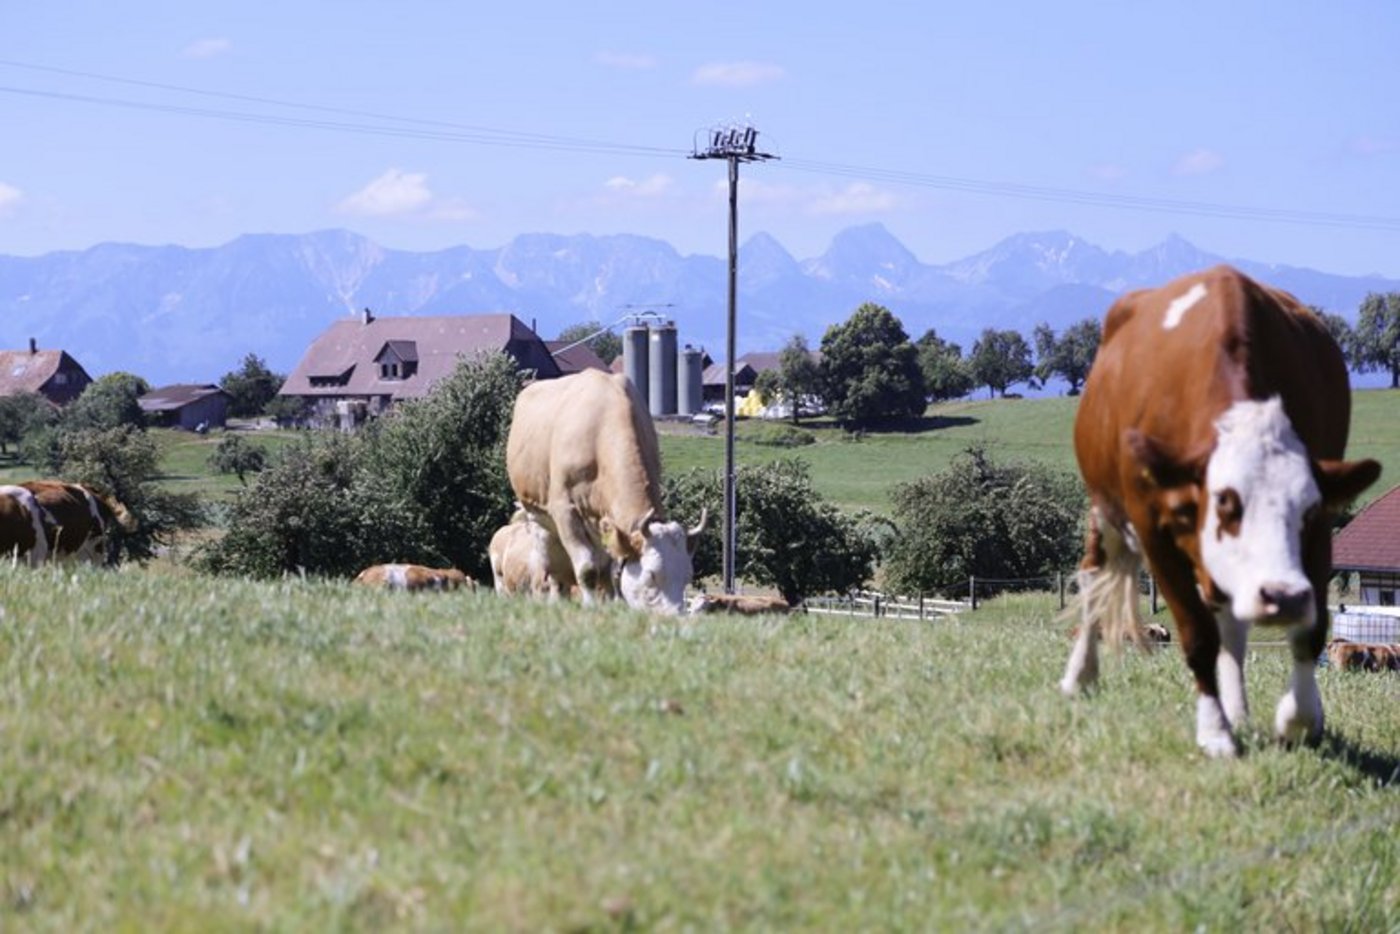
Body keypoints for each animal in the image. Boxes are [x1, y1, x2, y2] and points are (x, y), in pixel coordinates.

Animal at [506, 370, 706, 615]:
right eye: (651, 576)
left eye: (687, 576)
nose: (675, 616)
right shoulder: (565, 510)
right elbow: (586, 568)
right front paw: (590, 605)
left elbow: (612, 571)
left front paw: (613, 605)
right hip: (539, 520)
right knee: (553, 568)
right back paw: (557, 599)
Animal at [1059, 265, 1381, 758]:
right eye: (1225, 501)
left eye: (1305, 512)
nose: (1284, 597)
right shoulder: (1153, 530)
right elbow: (1197, 633)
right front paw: (1214, 732)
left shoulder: (1321, 529)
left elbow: (1311, 628)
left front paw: (1298, 719)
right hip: (1104, 508)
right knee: (1094, 574)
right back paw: (1081, 675)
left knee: (1231, 619)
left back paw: (1238, 708)